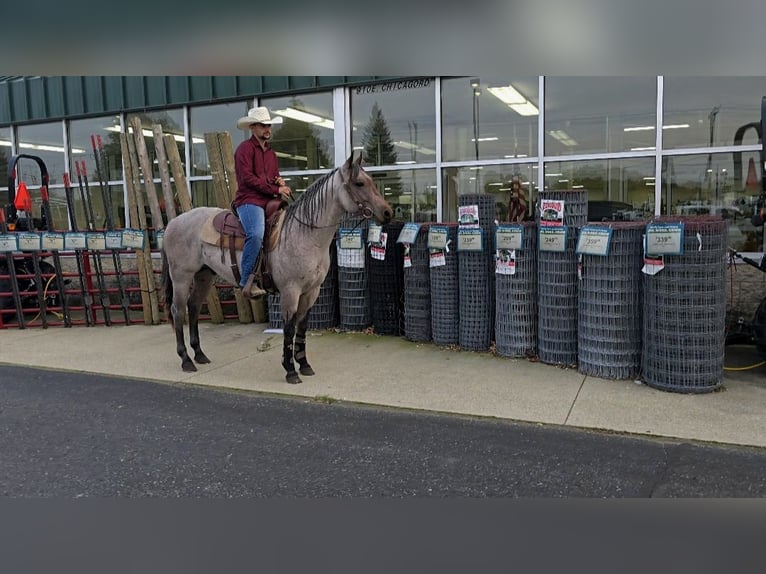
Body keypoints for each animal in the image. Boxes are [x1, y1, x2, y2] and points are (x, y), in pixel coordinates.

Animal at [159, 155, 392, 384]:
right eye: (359, 183)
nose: (388, 212)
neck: (304, 233)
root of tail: (173, 222)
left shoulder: (312, 291)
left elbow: (302, 326)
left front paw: (304, 364)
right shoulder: (290, 291)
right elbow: (288, 328)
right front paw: (290, 370)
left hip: (204, 276)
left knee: (194, 307)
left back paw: (199, 354)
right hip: (181, 277)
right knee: (178, 311)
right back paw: (186, 360)